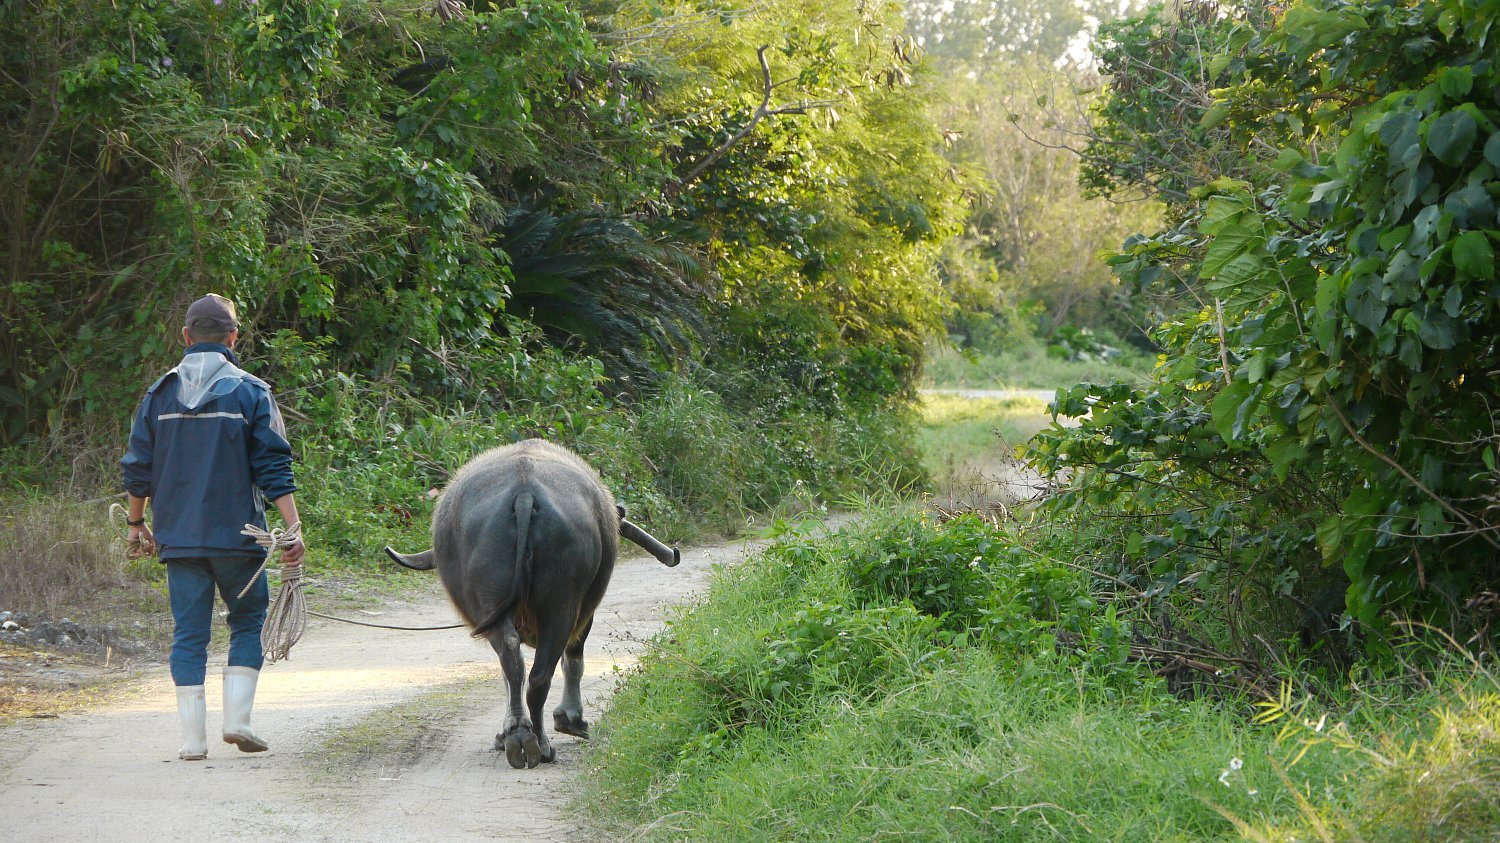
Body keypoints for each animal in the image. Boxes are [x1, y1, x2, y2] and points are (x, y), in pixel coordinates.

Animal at [393, 435, 621, 765]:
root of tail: (524, 494)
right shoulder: (583, 614)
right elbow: (572, 659)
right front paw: (571, 720)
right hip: (560, 604)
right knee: (538, 671)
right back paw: (537, 743)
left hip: (498, 600)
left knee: (514, 660)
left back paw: (521, 738)